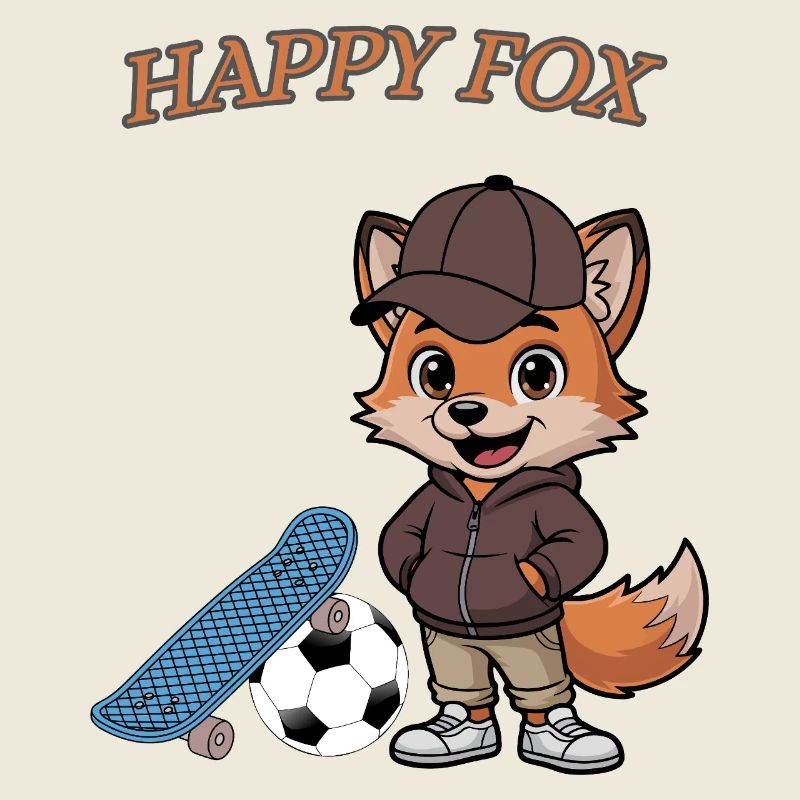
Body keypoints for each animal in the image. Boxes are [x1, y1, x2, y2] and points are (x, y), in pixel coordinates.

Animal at [349, 176, 708, 771]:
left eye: (537, 373)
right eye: (435, 372)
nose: (466, 409)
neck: (481, 491)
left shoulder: (560, 521)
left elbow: (577, 544)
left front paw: (565, 738)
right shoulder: (428, 510)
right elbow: (400, 537)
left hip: (529, 646)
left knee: (539, 690)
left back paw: (565, 740)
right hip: (453, 646)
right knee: (464, 684)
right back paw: (456, 733)